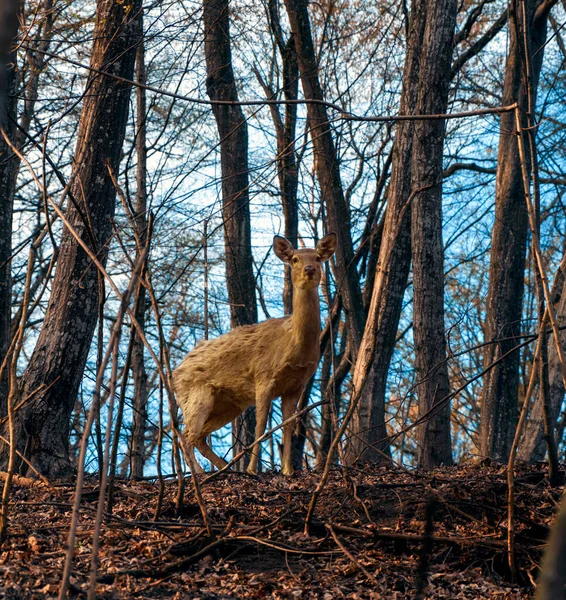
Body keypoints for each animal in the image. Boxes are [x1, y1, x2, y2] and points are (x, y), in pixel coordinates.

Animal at [174, 232, 338, 476]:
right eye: (295, 259)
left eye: (318, 257)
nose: (309, 269)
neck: (293, 346)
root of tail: (175, 373)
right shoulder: (263, 376)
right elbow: (261, 424)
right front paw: (253, 469)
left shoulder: (296, 385)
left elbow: (288, 424)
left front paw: (287, 470)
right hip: (195, 396)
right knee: (186, 435)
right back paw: (201, 472)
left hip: (228, 405)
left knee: (200, 437)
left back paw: (225, 469)